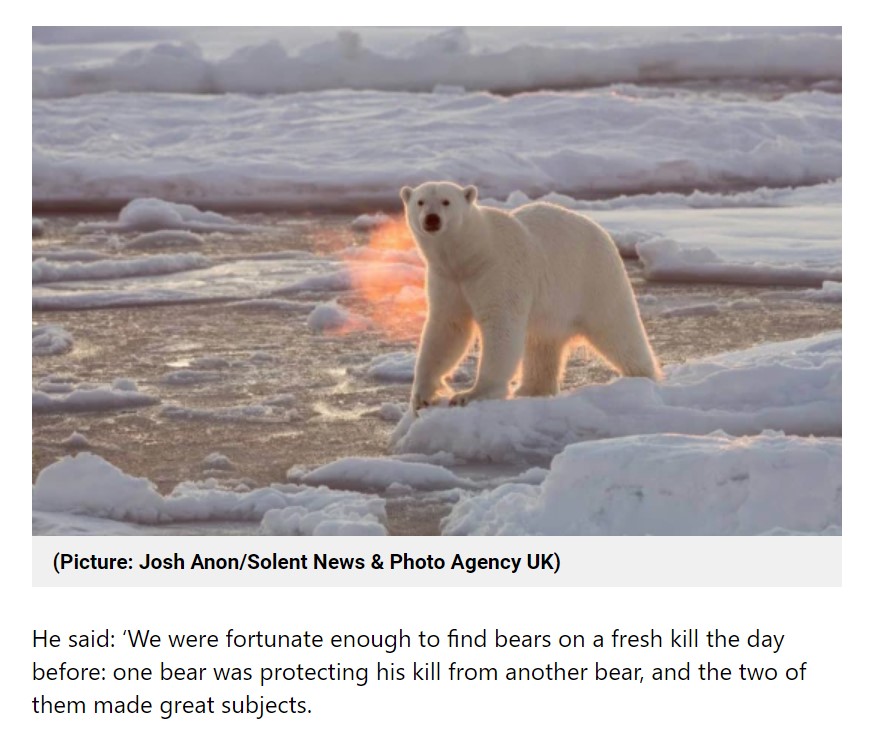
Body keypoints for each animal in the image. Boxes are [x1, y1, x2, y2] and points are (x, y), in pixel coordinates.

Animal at [400, 183, 660, 414]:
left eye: (446, 201)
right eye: (420, 201)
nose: (432, 219)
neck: (470, 255)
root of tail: (600, 229)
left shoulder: (499, 270)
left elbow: (500, 325)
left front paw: (470, 394)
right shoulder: (447, 278)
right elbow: (448, 327)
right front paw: (421, 396)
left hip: (594, 279)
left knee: (617, 328)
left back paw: (642, 376)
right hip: (554, 308)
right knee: (541, 344)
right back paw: (531, 389)